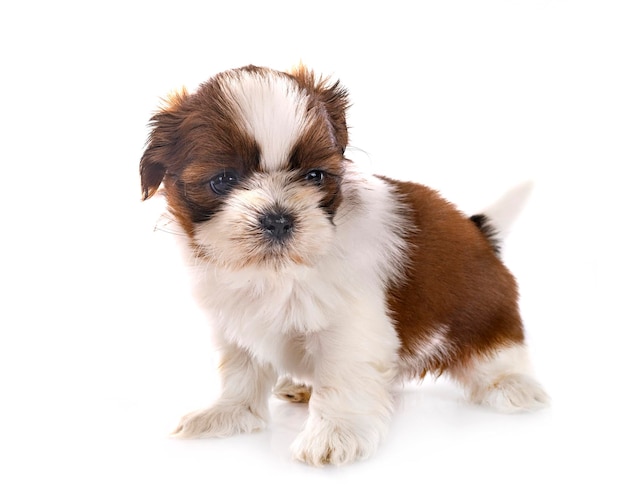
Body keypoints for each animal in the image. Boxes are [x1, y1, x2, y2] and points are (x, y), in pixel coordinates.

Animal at [140, 64, 544, 466]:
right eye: (223, 180)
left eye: (315, 176)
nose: (278, 219)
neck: (277, 271)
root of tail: (478, 232)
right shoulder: (236, 321)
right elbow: (241, 370)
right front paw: (229, 413)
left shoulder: (352, 325)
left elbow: (343, 375)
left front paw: (335, 433)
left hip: (484, 313)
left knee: (497, 352)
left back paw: (512, 386)